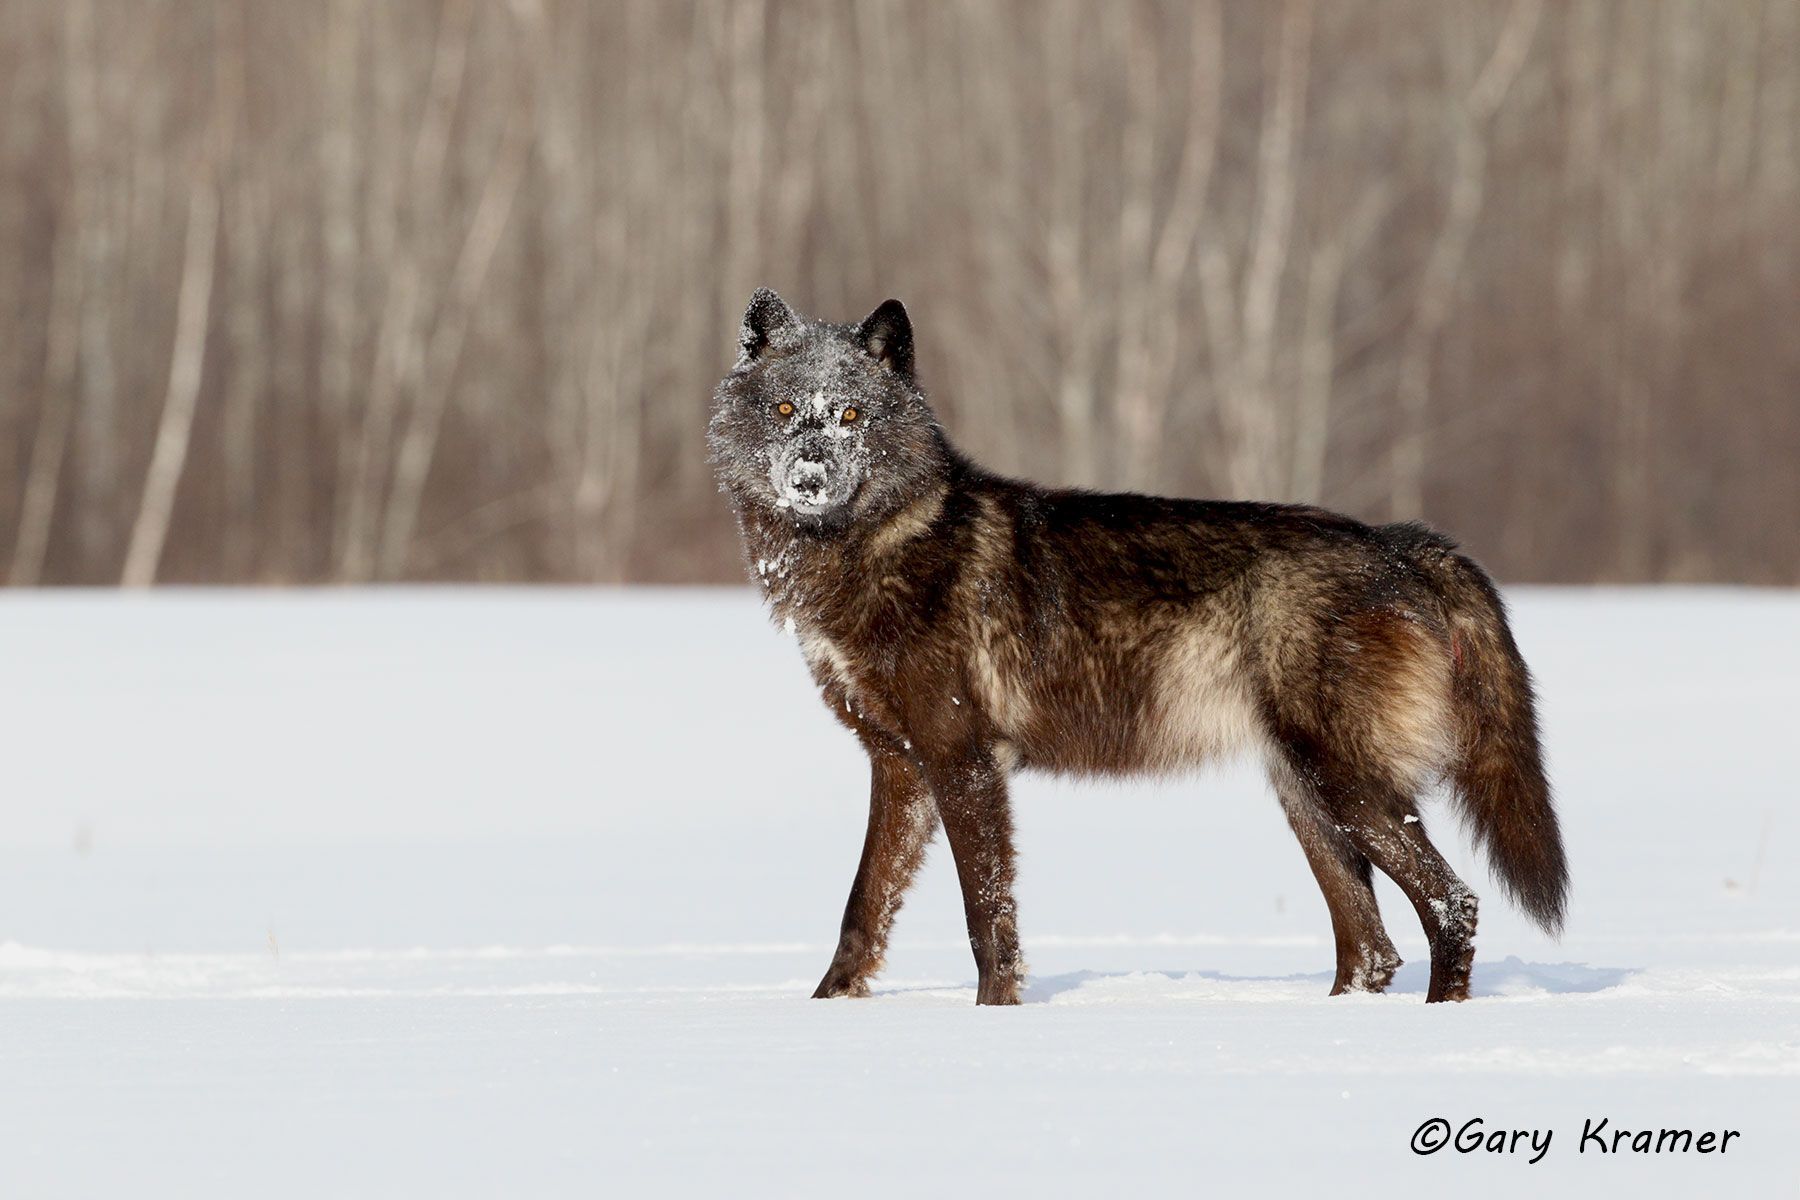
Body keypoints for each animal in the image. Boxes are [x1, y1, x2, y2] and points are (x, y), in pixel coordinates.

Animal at [709, 288, 1568, 1006]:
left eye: (852, 416)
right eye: (786, 408)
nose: (809, 475)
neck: (875, 546)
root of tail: (1397, 545)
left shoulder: (962, 760)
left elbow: (986, 915)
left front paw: (994, 1016)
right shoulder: (901, 765)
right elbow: (863, 908)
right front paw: (828, 1011)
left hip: (1344, 788)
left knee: (1452, 904)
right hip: (1309, 799)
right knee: (1371, 950)